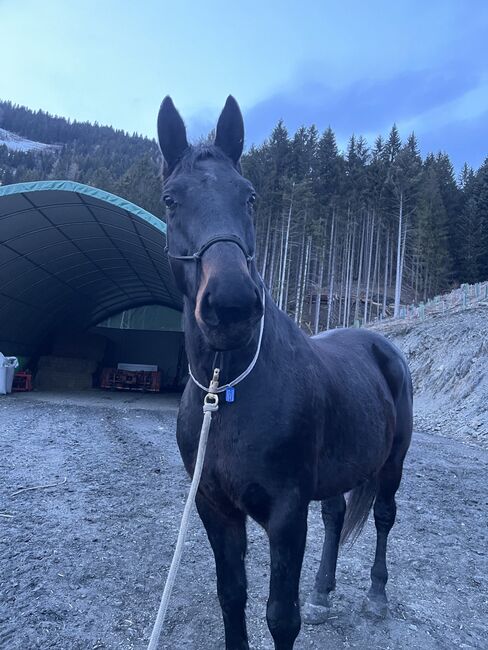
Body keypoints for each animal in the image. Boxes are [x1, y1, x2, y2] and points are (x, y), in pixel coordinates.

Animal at [155, 96, 412, 648]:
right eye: (170, 200)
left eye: (250, 197)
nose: (231, 304)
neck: (227, 389)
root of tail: (384, 347)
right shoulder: (214, 508)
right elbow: (232, 597)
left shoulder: (286, 514)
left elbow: (280, 616)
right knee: (336, 516)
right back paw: (322, 594)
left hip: (392, 462)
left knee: (383, 516)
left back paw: (376, 596)